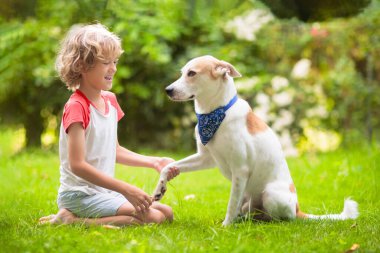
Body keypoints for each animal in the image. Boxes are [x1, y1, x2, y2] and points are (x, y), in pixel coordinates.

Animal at [152, 55, 360, 225]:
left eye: (192, 73)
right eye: (182, 73)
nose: (167, 90)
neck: (217, 113)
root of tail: (298, 209)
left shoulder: (240, 170)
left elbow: (231, 204)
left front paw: (225, 227)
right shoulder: (206, 158)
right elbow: (167, 167)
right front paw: (160, 189)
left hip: (270, 194)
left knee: (281, 218)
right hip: (248, 199)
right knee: (247, 211)